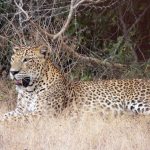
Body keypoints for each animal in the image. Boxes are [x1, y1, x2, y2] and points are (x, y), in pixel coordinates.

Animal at [0, 45, 150, 122]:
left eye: (27, 59)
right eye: (13, 59)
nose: (12, 72)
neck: (30, 90)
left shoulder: (44, 113)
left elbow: (12, 119)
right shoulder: (20, 110)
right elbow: (6, 115)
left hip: (139, 103)